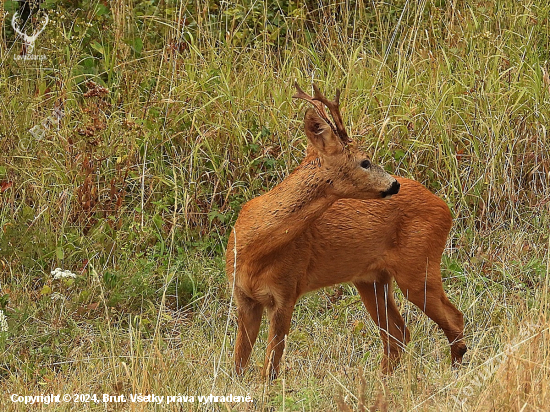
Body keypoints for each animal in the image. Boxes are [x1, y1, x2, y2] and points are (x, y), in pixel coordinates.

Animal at [226, 81, 468, 380]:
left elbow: (270, 366)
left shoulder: (286, 291)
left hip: (418, 266)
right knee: (398, 333)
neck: (255, 248)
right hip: (371, 279)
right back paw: (382, 381)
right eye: (365, 161)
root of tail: (444, 207)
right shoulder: (243, 296)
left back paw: (454, 373)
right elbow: (239, 362)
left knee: (453, 319)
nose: (394, 184)